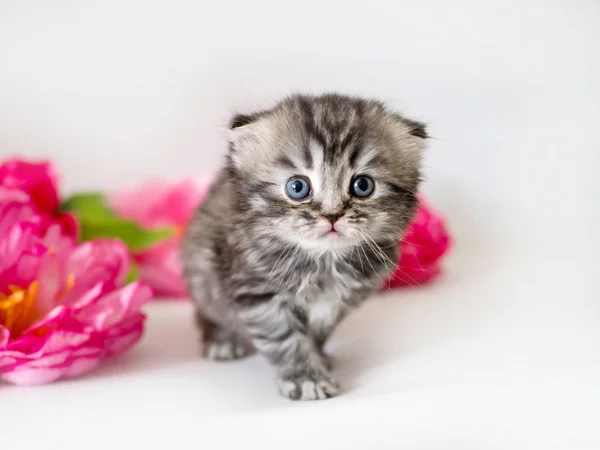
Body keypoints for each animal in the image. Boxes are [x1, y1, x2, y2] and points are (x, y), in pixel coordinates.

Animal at [183, 92, 426, 400]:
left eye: (363, 185)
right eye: (297, 187)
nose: (332, 215)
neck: (324, 261)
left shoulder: (338, 303)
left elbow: (316, 335)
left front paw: (318, 359)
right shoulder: (259, 294)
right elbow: (286, 340)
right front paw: (305, 377)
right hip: (202, 274)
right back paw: (221, 339)